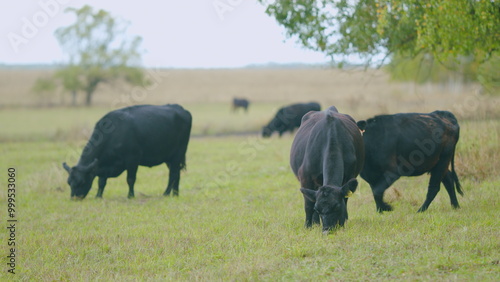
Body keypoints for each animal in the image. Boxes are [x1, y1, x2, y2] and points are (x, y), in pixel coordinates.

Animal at [61, 103, 193, 198]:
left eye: (82, 182)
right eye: (69, 182)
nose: (74, 198)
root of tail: (180, 108)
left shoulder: (133, 159)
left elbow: (130, 179)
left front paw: (130, 196)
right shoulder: (102, 166)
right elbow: (101, 182)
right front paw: (98, 196)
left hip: (177, 155)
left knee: (173, 174)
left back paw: (166, 194)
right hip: (169, 158)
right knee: (177, 175)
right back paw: (175, 194)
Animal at [290, 106, 364, 234]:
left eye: (337, 206)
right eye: (317, 209)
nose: (326, 230)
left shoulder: (349, 176)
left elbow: (345, 201)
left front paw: (342, 224)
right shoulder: (305, 178)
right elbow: (308, 205)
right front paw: (308, 226)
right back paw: (315, 223)